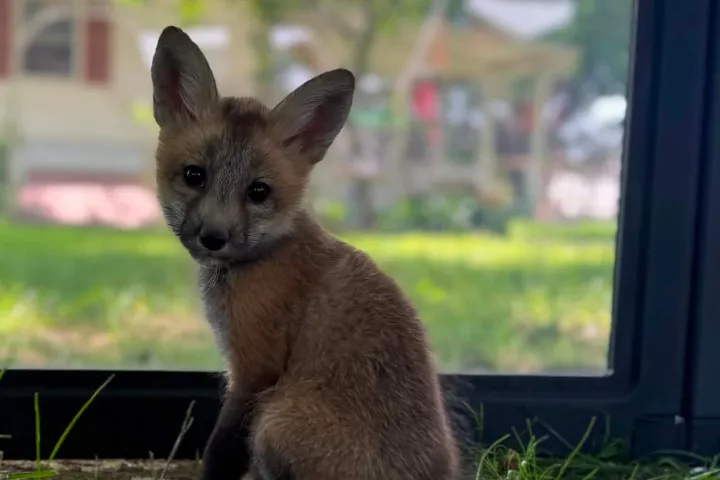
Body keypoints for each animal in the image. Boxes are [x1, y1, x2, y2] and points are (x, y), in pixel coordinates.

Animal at [150, 25, 460, 480]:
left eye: (258, 192)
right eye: (194, 175)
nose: (213, 237)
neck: (267, 256)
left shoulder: (254, 370)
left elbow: (220, 451)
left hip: (275, 421)